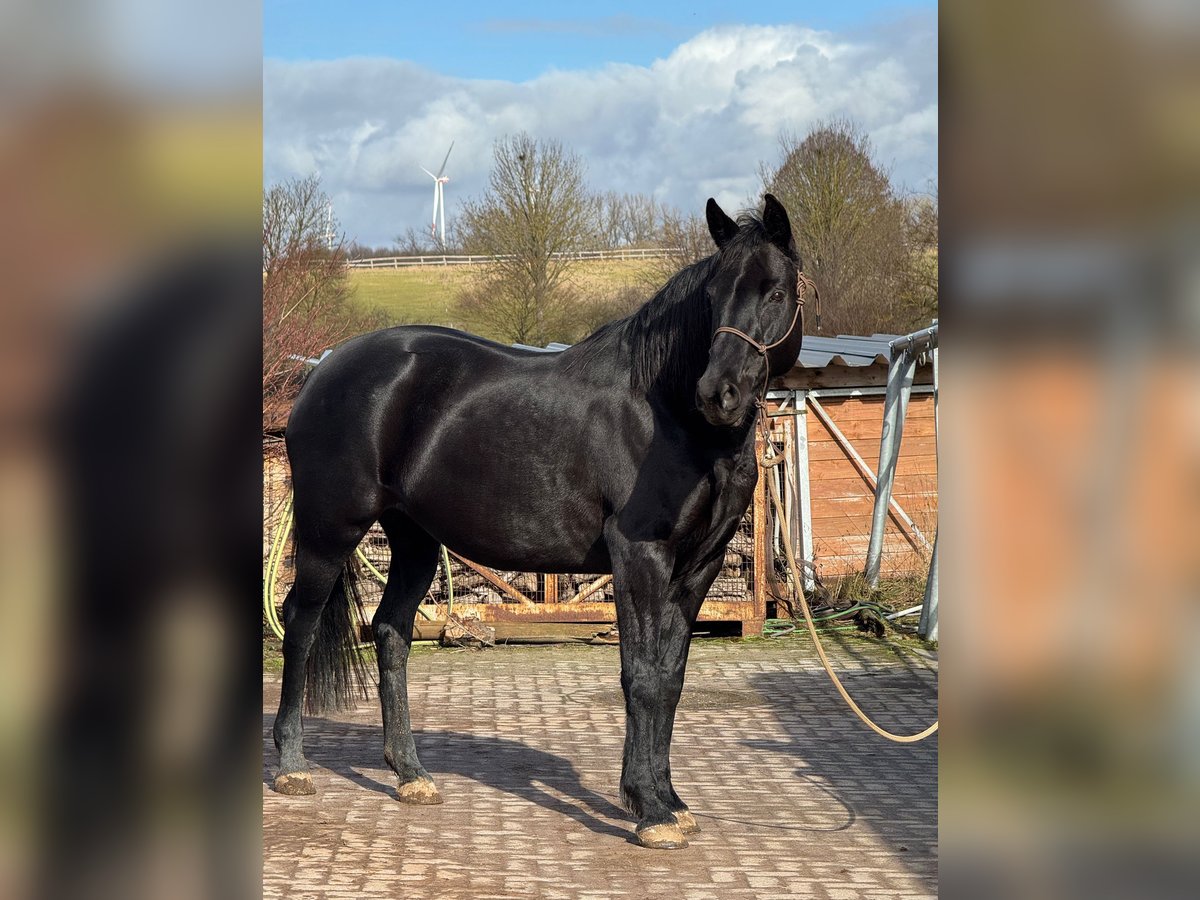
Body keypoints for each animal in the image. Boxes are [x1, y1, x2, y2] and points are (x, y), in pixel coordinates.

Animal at [271, 194, 806, 850]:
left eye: (775, 290)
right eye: (714, 296)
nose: (718, 393)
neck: (668, 416)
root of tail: (321, 373)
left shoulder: (698, 566)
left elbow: (671, 677)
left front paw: (669, 800)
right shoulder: (640, 556)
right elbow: (641, 676)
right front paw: (650, 809)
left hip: (415, 541)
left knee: (391, 631)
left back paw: (411, 775)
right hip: (331, 531)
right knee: (300, 624)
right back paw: (293, 766)